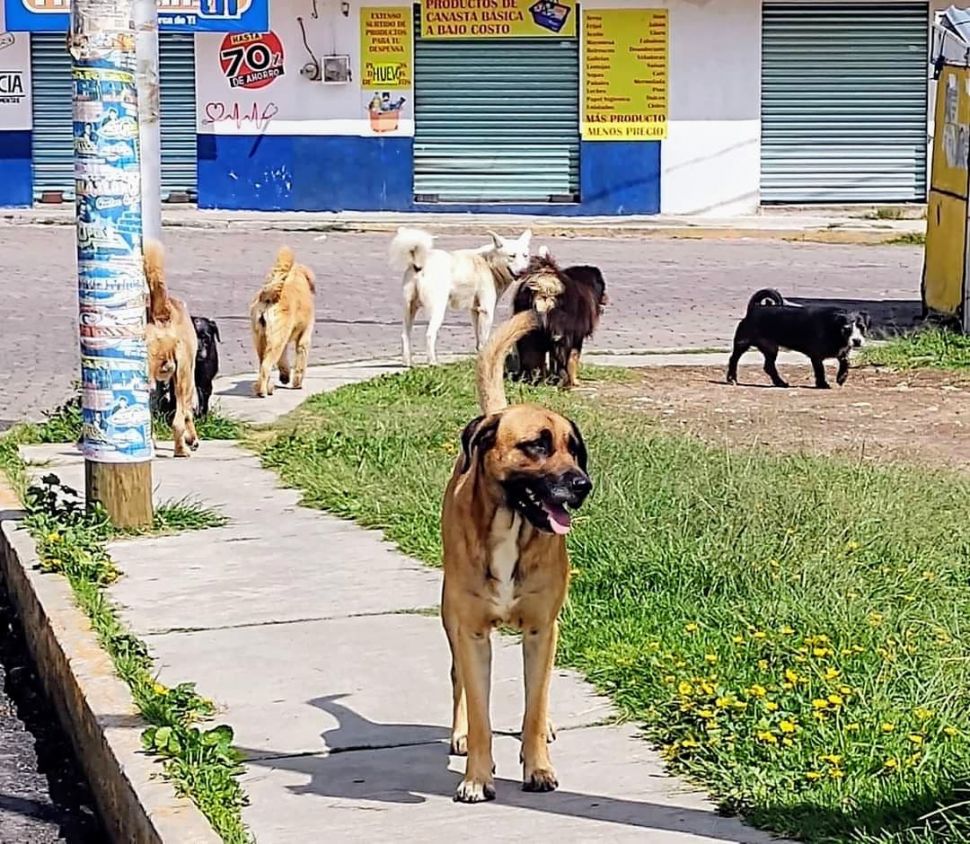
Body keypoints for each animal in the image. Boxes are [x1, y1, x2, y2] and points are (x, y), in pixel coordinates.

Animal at [144, 241, 199, 458]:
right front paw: (191, 438)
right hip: (184, 375)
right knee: (177, 422)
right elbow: (187, 413)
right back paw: (182, 450)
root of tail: (161, 314)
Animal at [248, 247, 316, 398]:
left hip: (262, 339)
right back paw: (262, 391)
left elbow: (283, 361)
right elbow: (300, 361)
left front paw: (285, 376)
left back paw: (264, 387)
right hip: (276, 341)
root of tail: (269, 296)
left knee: (262, 364)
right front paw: (297, 383)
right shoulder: (305, 336)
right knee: (266, 367)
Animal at [438, 298, 588, 804]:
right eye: (536, 446)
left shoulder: (543, 629)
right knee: (458, 681)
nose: (583, 484)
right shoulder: (471, 632)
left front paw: (538, 766)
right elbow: (481, 710)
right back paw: (460, 733)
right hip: (448, 617)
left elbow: (534, 706)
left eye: (573, 449)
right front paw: (477, 777)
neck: (511, 527)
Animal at [506, 249, 604, 388]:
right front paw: (574, 381)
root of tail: (545, 287)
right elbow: (573, 359)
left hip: (528, 335)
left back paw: (536, 381)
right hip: (561, 337)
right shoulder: (576, 339)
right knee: (561, 363)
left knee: (533, 361)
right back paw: (564, 382)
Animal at [724, 286, 864, 388]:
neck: (834, 328)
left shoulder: (843, 352)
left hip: (771, 348)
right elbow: (820, 370)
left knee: (769, 366)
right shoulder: (816, 356)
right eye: (846, 328)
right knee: (733, 359)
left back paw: (780, 382)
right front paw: (822, 384)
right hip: (742, 343)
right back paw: (732, 378)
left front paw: (841, 377)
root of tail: (755, 308)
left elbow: (845, 363)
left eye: (862, 327)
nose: (857, 341)